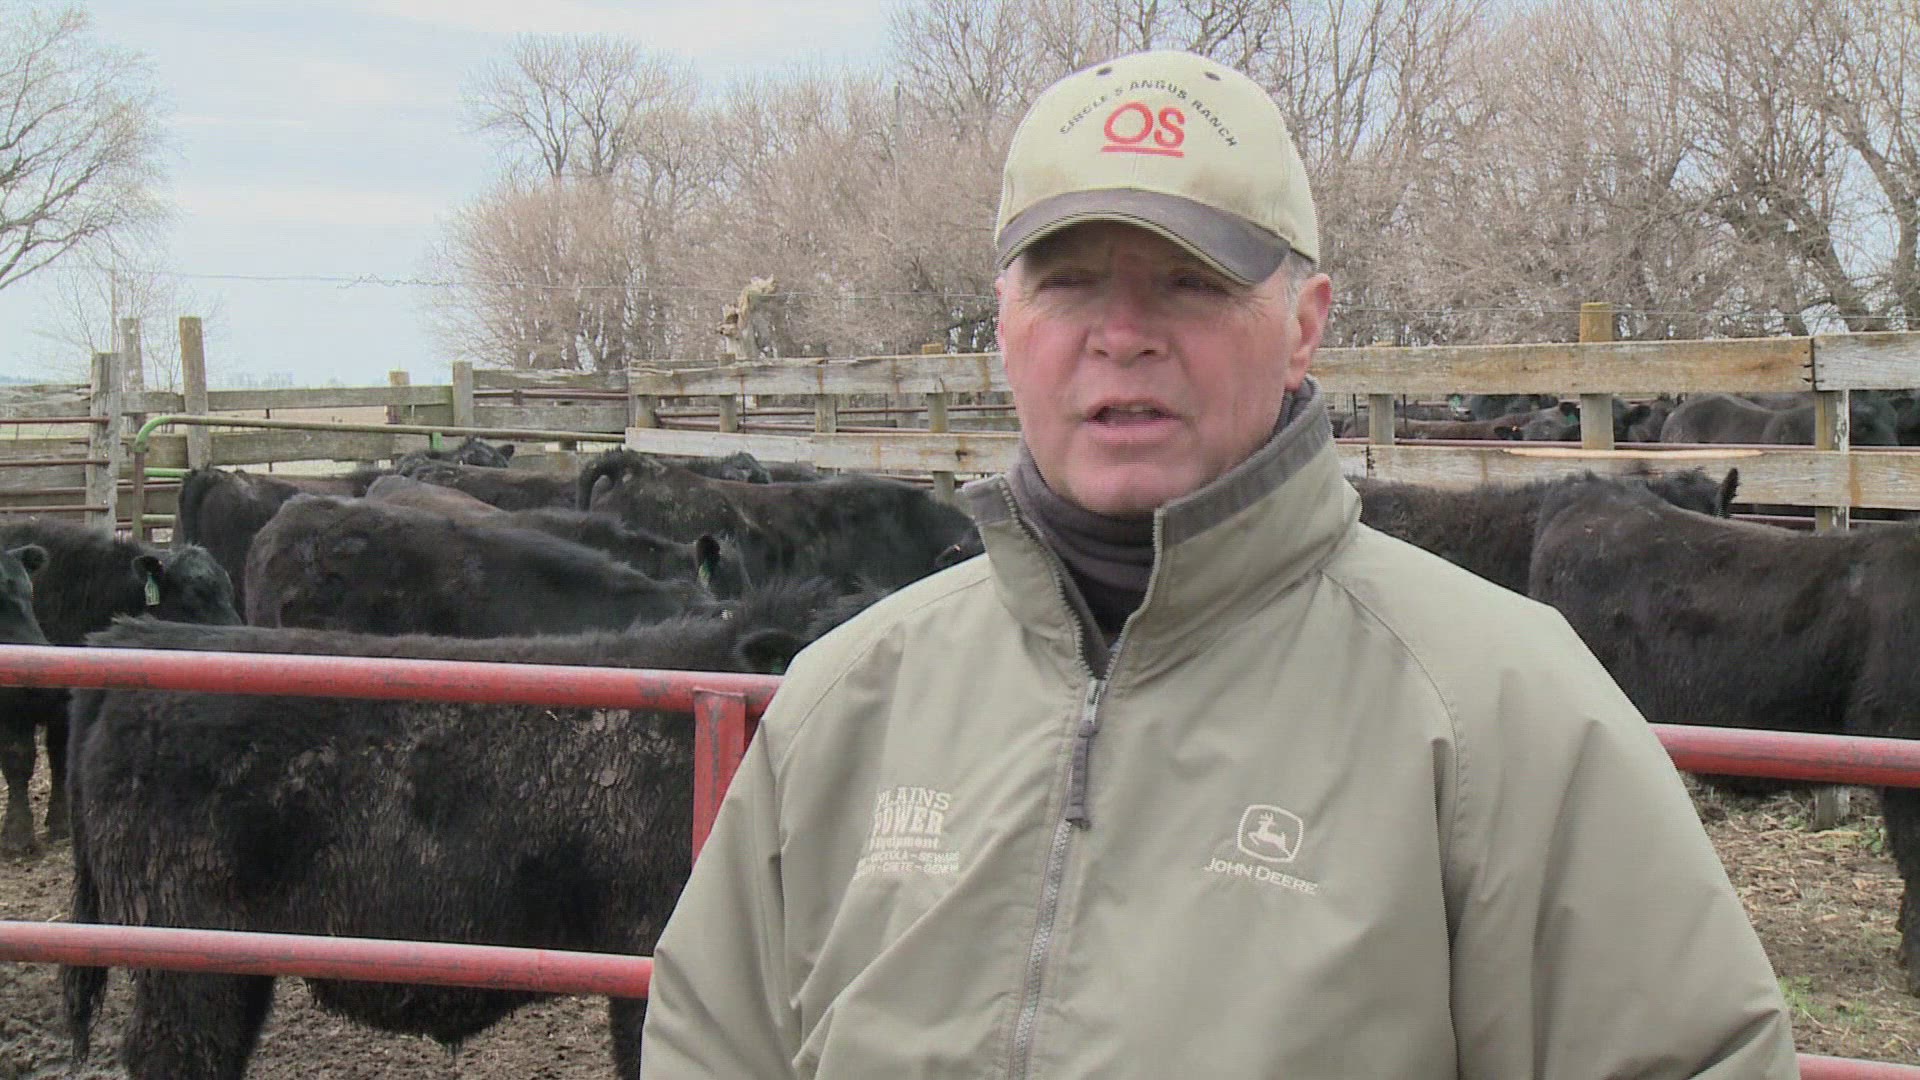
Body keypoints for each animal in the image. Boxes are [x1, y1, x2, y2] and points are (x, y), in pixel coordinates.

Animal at [0, 521, 238, 857]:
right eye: (193, 599)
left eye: (230, 594)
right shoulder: (13, 705)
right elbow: (18, 760)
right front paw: (18, 835)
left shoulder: (64, 708)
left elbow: (60, 758)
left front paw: (59, 823)